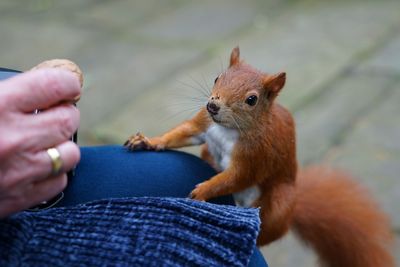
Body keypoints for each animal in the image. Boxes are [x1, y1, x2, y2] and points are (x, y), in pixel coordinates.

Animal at [125, 47, 394, 266]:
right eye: (217, 78)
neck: (228, 129)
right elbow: (181, 134)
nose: (213, 106)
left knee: (267, 233)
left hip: (279, 204)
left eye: (251, 99)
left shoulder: (256, 156)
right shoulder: (202, 125)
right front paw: (149, 141)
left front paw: (201, 192)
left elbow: (235, 178)